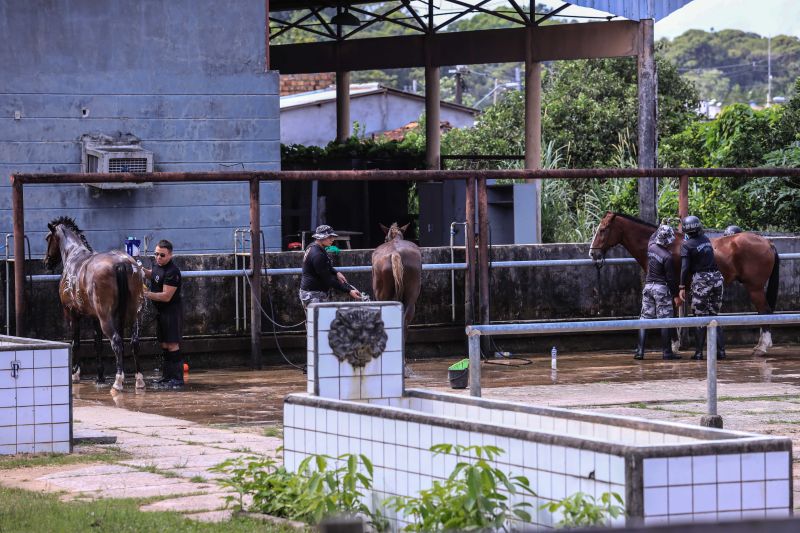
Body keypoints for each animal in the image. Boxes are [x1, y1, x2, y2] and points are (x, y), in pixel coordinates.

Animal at [44, 217, 147, 390]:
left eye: (47, 239)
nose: (46, 262)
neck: (74, 254)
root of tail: (122, 263)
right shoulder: (94, 316)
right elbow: (97, 344)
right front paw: (100, 377)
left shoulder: (71, 312)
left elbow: (76, 343)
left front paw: (75, 373)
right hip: (133, 314)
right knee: (134, 342)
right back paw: (138, 380)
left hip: (105, 317)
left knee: (116, 341)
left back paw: (118, 381)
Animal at [592, 211, 780, 354]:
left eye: (603, 230)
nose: (593, 254)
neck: (662, 244)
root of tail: (767, 242)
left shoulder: (670, 288)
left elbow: (670, 316)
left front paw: (674, 346)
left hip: (755, 288)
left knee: (765, 311)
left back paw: (762, 347)